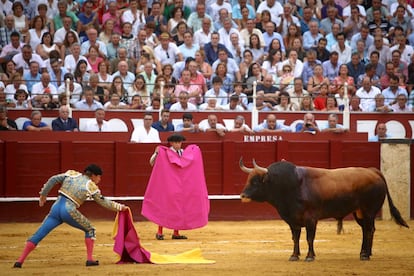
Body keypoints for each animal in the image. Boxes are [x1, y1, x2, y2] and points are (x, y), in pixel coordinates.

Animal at [239, 158, 408, 262]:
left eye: (256, 182)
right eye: (248, 180)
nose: (243, 195)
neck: (291, 185)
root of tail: (373, 171)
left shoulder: (310, 219)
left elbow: (309, 238)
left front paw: (309, 257)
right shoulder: (293, 220)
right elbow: (295, 238)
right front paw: (294, 256)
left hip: (369, 211)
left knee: (369, 230)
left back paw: (366, 255)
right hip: (359, 212)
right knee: (366, 230)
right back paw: (364, 253)